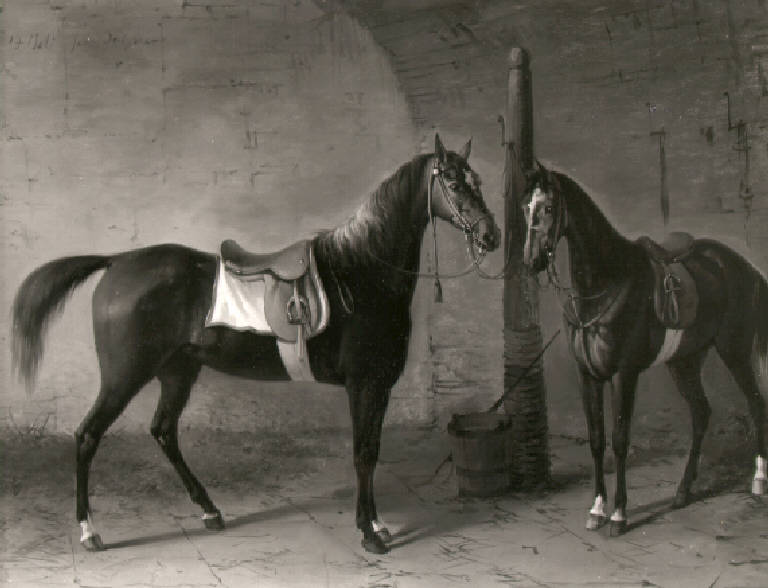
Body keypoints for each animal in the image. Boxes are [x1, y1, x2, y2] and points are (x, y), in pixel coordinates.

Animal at [11, 134, 500, 555]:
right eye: (452, 181)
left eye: (477, 180)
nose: (490, 235)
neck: (362, 273)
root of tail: (118, 262)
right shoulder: (365, 384)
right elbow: (363, 454)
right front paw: (370, 533)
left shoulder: (378, 387)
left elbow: (372, 451)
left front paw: (377, 524)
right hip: (124, 375)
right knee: (87, 435)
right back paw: (89, 531)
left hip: (178, 371)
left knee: (164, 431)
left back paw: (210, 511)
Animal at [520, 161, 768, 536]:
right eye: (525, 208)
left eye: (548, 207)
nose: (530, 260)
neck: (605, 283)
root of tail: (747, 269)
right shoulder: (588, 375)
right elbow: (597, 440)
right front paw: (596, 509)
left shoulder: (625, 374)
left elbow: (620, 440)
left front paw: (619, 515)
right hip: (685, 361)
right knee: (701, 413)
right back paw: (682, 492)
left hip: (735, 352)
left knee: (756, 405)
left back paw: (758, 481)